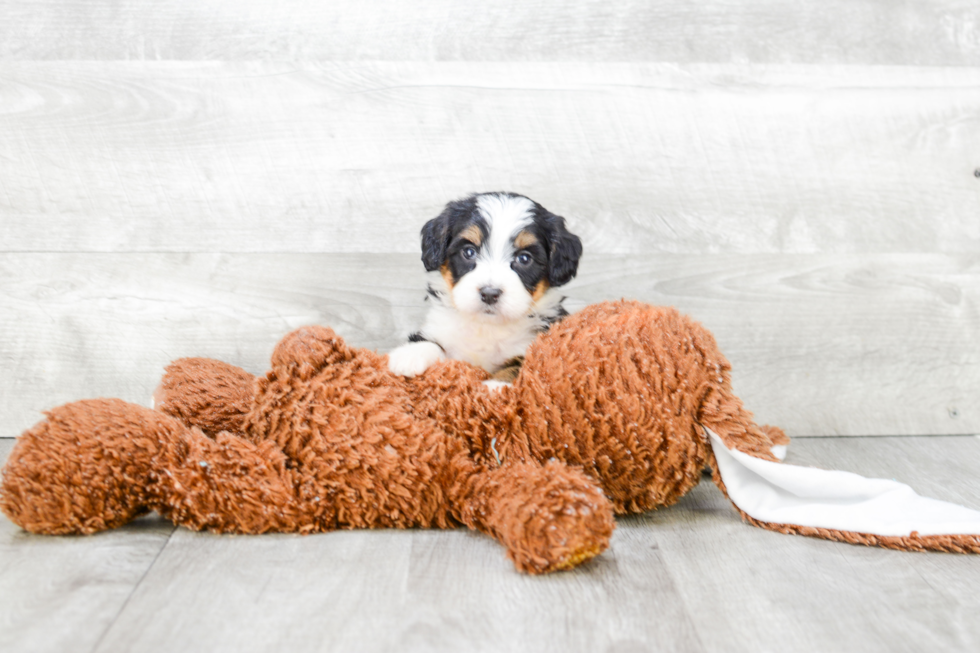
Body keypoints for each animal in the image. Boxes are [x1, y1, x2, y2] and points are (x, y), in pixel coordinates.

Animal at [384, 190, 580, 382]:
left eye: (524, 258)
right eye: (469, 252)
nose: (490, 294)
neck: (487, 326)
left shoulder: (536, 347)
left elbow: (518, 367)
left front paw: (494, 387)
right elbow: (432, 342)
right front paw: (410, 355)